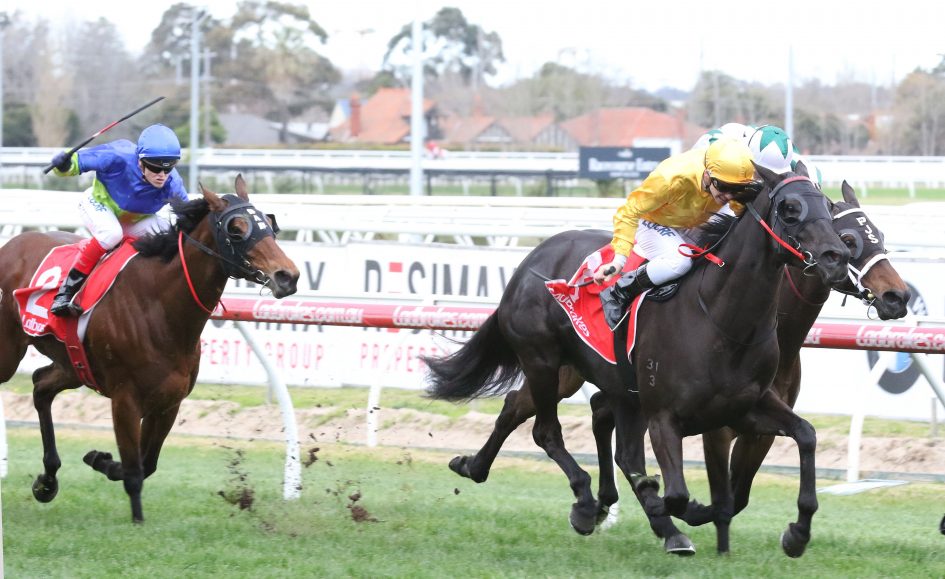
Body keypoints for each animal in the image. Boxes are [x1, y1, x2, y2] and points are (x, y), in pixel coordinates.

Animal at [0, 175, 300, 523]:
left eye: (270, 223)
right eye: (236, 228)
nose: (287, 276)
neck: (158, 306)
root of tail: (11, 245)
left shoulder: (168, 402)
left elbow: (146, 464)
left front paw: (100, 460)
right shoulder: (125, 399)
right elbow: (134, 472)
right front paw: (137, 520)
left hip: (74, 364)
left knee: (41, 385)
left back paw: (47, 481)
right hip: (10, 352)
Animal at [425, 164, 850, 556]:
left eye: (827, 206)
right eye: (789, 208)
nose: (836, 257)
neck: (721, 320)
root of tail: (532, 258)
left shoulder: (744, 408)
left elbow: (804, 436)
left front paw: (797, 533)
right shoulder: (664, 416)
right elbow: (676, 493)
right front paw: (670, 511)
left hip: (586, 379)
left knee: (524, 408)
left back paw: (473, 466)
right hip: (542, 359)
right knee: (548, 432)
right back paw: (589, 503)